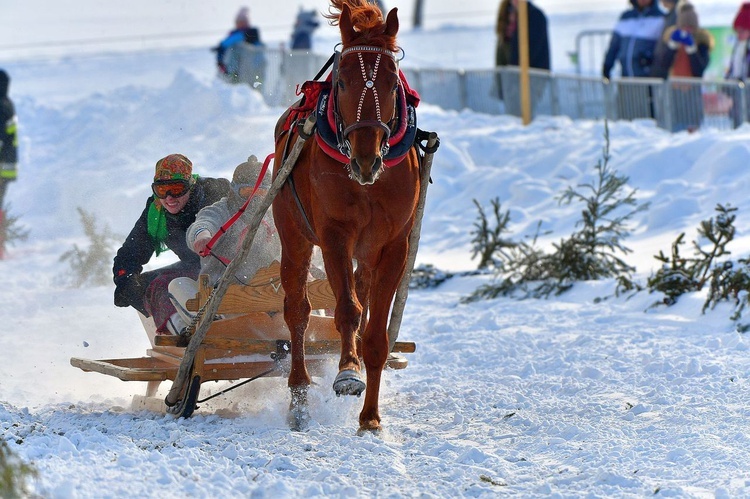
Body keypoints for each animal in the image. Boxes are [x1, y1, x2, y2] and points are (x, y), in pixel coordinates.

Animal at [272, 0, 424, 434]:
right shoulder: (335, 236)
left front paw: (370, 417)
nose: (365, 158)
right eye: (341, 83)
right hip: (293, 233)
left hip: (367, 252)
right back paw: (300, 395)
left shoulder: (394, 246)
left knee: (362, 289)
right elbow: (347, 311)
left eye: (391, 83)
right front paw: (348, 372)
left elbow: (376, 333)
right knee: (298, 310)